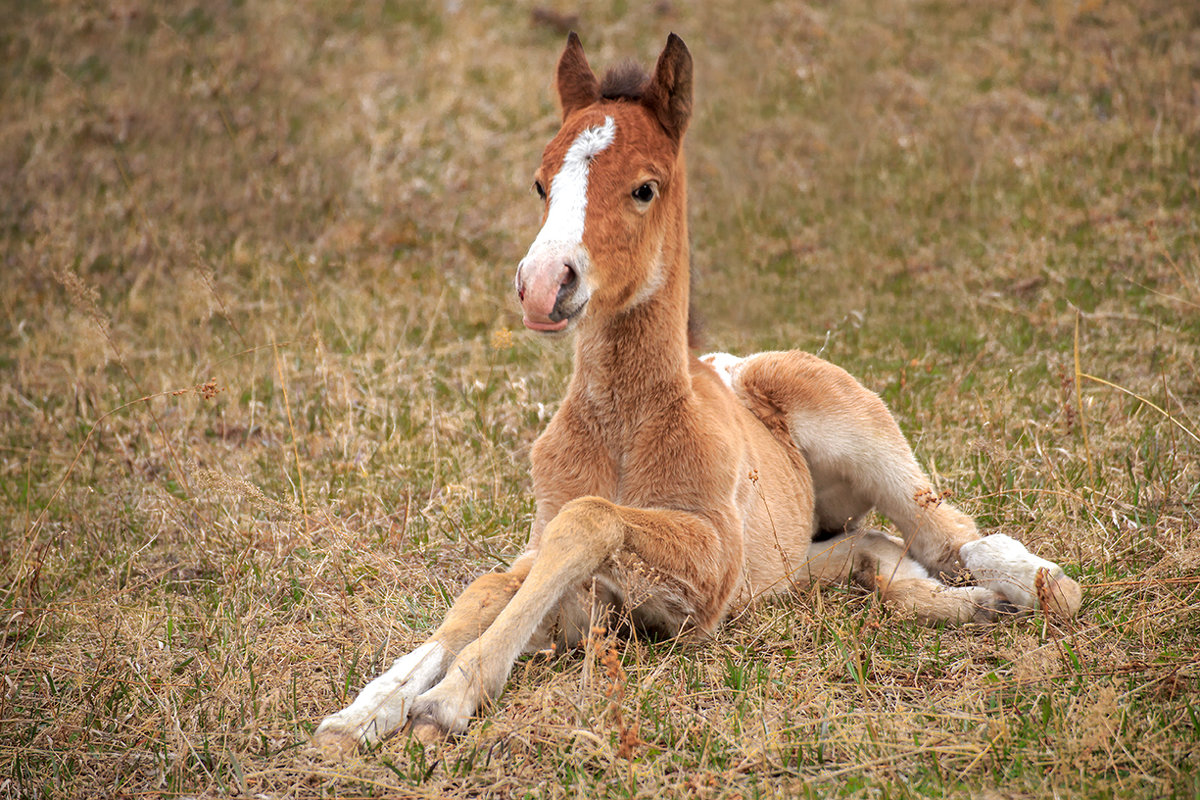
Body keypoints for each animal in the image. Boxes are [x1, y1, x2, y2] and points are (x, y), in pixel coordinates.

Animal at [314, 34, 1084, 753]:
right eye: (539, 184)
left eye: (644, 187)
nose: (542, 284)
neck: (624, 424)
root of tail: (732, 365)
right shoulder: (575, 575)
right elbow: (491, 589)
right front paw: (363, 712)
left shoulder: (707, 568)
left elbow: (590, 520)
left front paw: (448, 699)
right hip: (787, 559)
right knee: (872, 548)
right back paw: (969, 604)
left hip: (851, 428)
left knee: (949, 535)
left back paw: (1035, 588)